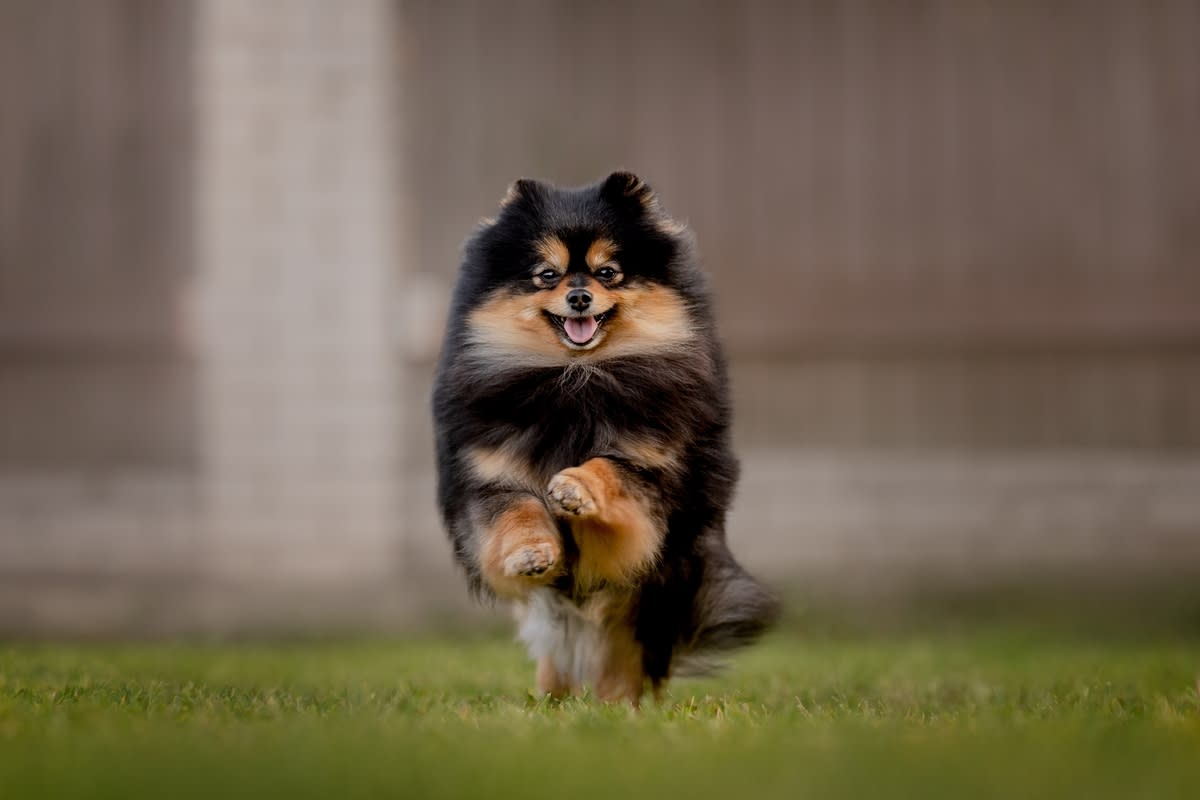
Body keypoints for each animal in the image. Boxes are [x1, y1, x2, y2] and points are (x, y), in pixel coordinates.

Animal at [432, 172, 777, 705]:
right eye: (547, 275)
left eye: (608, 272)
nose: (579, 297)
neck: (576, 378)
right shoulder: (491, 478)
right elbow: (517, 512)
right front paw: (532, 550)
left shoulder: (651, 477)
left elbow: (609, 468)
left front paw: (575, 488)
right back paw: (552, 702)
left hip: (657, 594)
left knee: (622, 656)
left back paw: (618, 708)